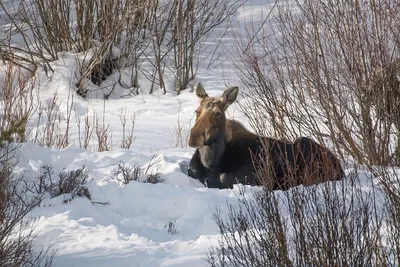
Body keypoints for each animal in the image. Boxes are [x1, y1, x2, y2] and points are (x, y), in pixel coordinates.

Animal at [187, 84, 344, 191]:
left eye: (218, 113)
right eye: (197, 111)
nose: (195, 137)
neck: (210, 162)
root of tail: (340, 168)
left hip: (304, 144)